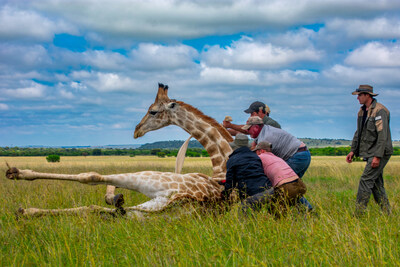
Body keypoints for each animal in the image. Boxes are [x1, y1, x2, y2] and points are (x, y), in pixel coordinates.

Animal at [4, 85, 233, 219]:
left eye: (153, 111)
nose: (136, 130)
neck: (220, 162)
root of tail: (183, 198)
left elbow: (102, 184)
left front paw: (113, 195)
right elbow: (108, 199)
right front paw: (114, 196)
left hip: (152, 181)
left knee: (91, 177)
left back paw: (16, 174)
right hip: (148, 207)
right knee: (95, 208)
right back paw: (25, 211)